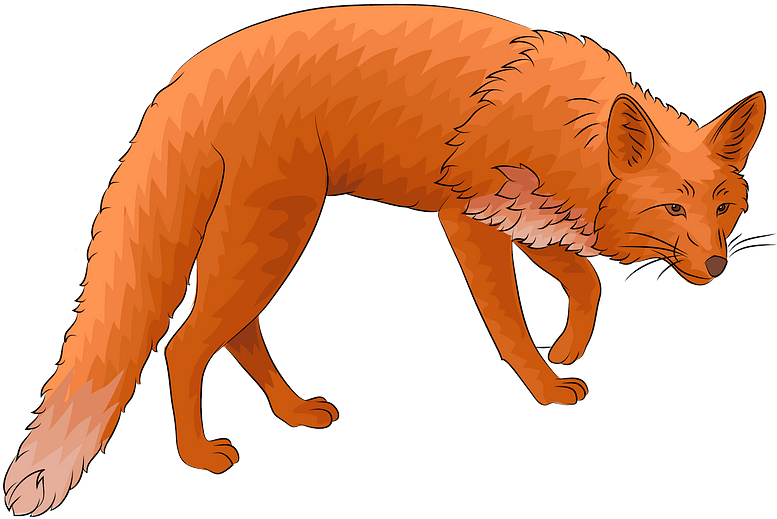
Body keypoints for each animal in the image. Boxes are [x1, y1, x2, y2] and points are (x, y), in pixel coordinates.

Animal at [3, 4, 771, 516]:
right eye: (672, 210)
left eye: (722, 208)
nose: (716, 268)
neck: (564, 123)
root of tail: (189, 75)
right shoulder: (469, 220)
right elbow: (509, 325)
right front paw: (546, 385)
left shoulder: (526, 218)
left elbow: (584, 281)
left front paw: (568, 347)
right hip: (270, 237)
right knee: (184, 345)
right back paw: (199, 456)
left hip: (265, 243)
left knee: (237, 334)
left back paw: (294, 412)